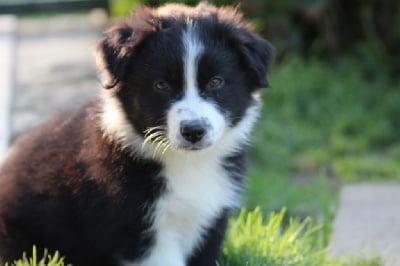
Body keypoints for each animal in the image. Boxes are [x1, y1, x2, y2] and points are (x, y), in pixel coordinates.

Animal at [0, 2, 274, 266]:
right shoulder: (137, 227)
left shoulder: (212, 221)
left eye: (216, 82)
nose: (194, 131)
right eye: (161, 85)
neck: (187, 163)